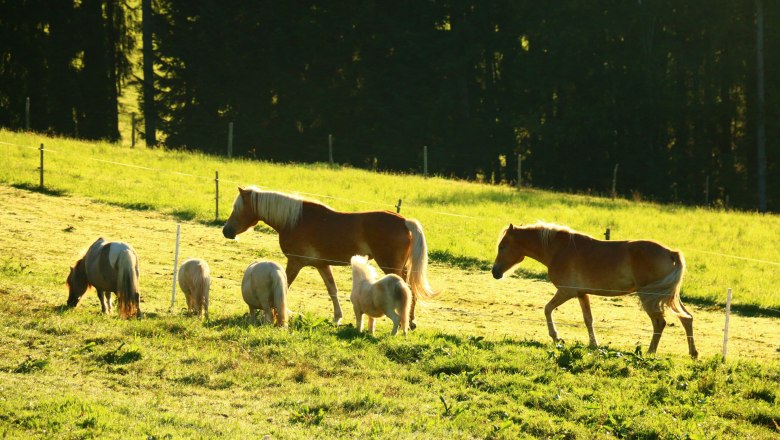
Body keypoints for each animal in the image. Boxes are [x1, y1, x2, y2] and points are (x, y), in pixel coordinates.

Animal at [222, 185, 436, 326]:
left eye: (237, 209)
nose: (226, 231)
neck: (294, 220)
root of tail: (404, 221)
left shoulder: (294, 263)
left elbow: (285, 286)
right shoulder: (322, 265)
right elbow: (332, 290)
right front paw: (337, 317)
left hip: (391, 266)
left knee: (406, 289)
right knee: (411, 290)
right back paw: (411, 321)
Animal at [490, 222, 696, 360]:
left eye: (502, 246)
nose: (495, 272)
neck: (558, 250)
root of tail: (671, 253)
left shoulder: (566, 292)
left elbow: (547, 309)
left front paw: (556, 338)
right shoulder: (582, 294)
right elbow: (588, 319)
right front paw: (593, 344)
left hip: (649, 297)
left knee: (660, 323)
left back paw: (650, 353)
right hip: (669, 297)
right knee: (686, 318)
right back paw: (693, 353)